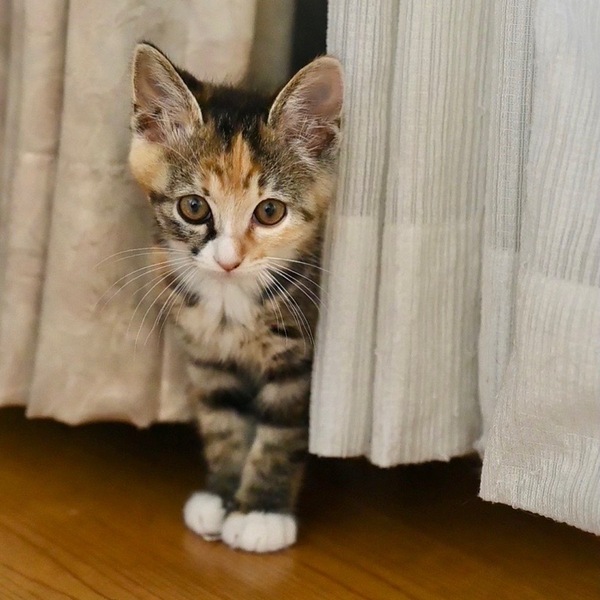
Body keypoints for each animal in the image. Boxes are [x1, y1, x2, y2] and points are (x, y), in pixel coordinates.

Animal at [128, 42, 343, 552]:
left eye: (269, 212)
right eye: (193, 207)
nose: (228, 260)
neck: (229, 303)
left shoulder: (300, 361)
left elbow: (280, 434)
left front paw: (261, 513)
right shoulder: (207, 357)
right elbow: (222, 424)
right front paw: (223, 497)